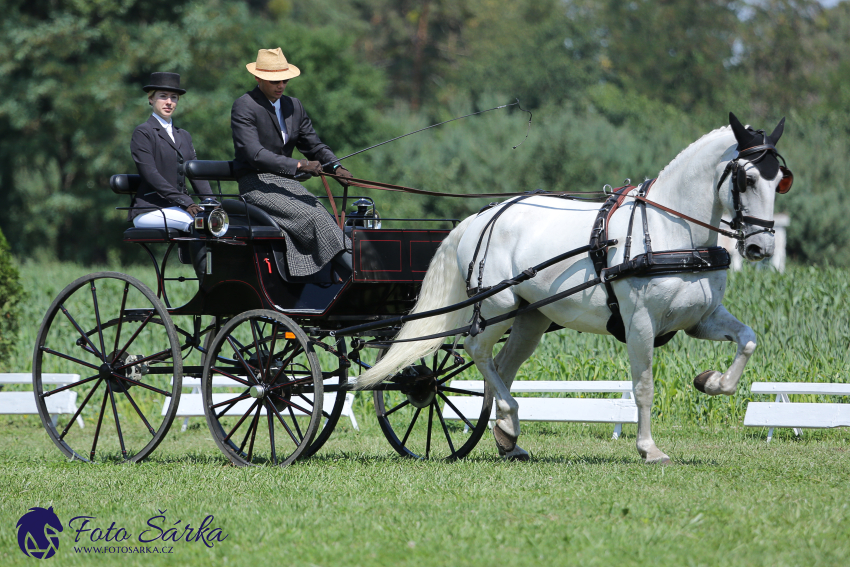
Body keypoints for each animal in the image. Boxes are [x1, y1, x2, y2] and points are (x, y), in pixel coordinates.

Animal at [356, 113, 788, 464]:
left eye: (779, 182)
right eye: (747, 179)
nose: (761, 248)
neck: (673, 234)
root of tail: (482, 216)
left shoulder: (701, 319)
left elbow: (747, 340)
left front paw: (710, 381)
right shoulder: (640, 322)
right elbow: (643, 386)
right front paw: (649, 449)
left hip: (530, 318)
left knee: (501, 365)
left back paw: (507, 436)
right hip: (496, 306)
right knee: (476, 349)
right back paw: (509, 420)